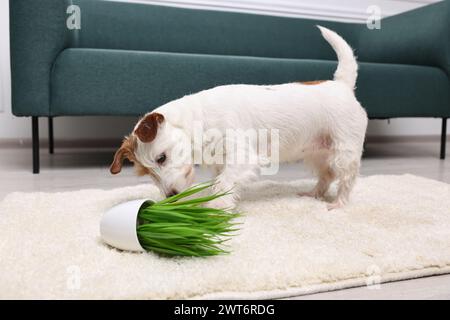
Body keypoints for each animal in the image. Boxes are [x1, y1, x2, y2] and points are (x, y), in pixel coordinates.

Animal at [110, 26, 368, 210]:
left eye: (161, 158)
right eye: (147, 173)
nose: (171, 197)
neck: (199, 119)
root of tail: (341, 85)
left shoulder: (241, 157)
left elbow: (224, 183)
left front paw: (214, 209)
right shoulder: (220, 163)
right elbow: (218, 181)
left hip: (344, 152)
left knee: (346, 178)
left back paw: (338, 204)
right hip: (317, 154)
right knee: (326, 175)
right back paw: (313, 194)